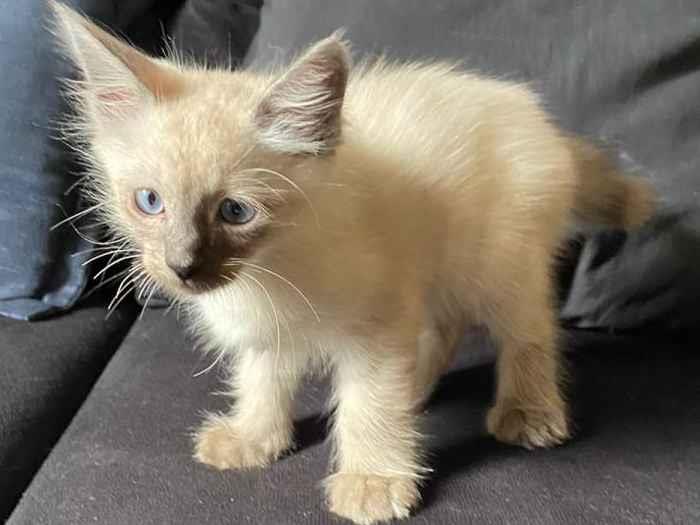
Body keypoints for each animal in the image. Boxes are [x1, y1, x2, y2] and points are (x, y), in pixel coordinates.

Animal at [51, 3, 654, 524]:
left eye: (235, 211)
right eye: (149, 201)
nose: (181, 266)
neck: (271, 270)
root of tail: (537, 119)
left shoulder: (377, 326)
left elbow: (370, 403)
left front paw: (373, 480)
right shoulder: (279, 330)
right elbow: (262, 379)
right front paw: (254, 439)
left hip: (500, 262)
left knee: (529, 331)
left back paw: (528, 412)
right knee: (448, 326)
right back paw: (418, 389)